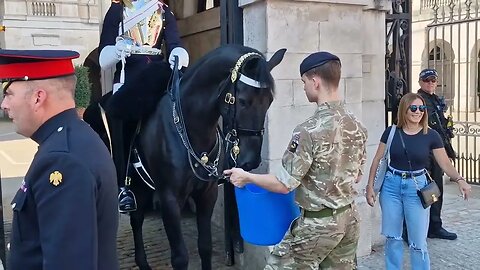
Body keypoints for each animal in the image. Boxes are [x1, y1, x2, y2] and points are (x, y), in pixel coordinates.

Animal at [86, 45, 284, 268]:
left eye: (269, 101)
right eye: (242, 101)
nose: (251, 160)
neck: (191, 129)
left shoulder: (207, 194)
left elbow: (205, 246)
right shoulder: (170, 199)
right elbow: (180, 257)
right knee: (135, 219)